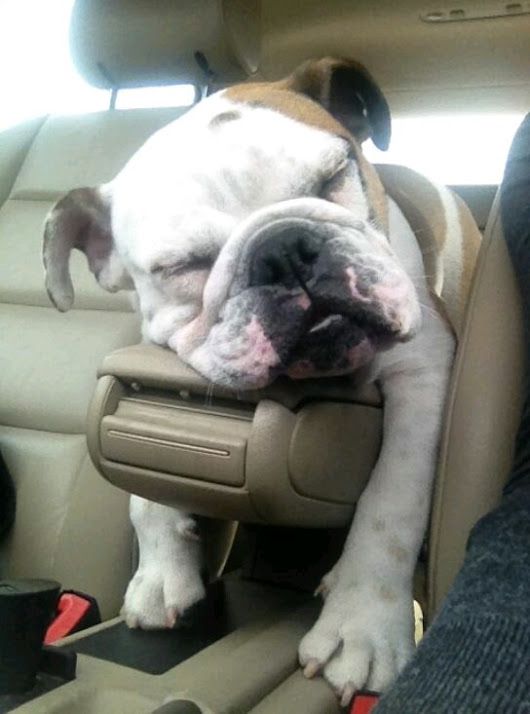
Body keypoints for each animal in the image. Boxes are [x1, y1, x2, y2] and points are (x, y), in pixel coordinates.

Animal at [41, 59, 474, 700]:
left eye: (333, 176)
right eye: (182, 265)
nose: (285, 249)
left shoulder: (424, 372)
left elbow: (392, 501)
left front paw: (362, 625)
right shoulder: (145, 361)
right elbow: (141, 476)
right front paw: (161, 569)